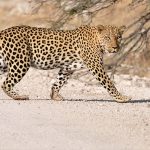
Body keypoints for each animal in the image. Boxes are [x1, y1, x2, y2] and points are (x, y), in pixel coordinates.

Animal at [0, 24, 131, 102]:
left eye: (118, 37)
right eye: (107, 37)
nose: (115, 47)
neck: (97, 41)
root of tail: (4, 32)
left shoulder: (68, 67)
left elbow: (59, 82)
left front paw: (54, 96)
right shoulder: (96, 66)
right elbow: (109, 83)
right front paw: (121, 97)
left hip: (4, 63)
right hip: (21, 62)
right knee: (5, 83)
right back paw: (19, 96)